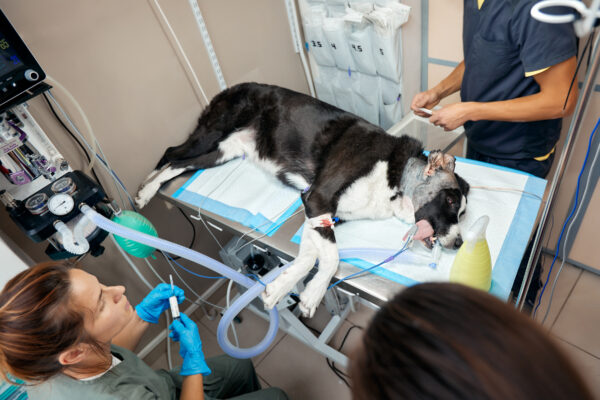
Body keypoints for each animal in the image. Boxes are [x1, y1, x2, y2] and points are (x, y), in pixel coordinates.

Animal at [136, 83, 468, 318]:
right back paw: (143, 192)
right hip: (211, 134)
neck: (395, 177)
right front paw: (314, 294)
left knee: (179, 163)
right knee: (170, 153)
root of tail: (230, 87)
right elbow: (331, 257)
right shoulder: (317, 198)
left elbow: (308, 256)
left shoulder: (320, 213)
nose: (460, 243)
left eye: (463, 213)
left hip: (221, 152)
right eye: (451, 202)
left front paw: (280, 287)